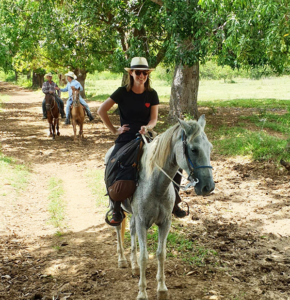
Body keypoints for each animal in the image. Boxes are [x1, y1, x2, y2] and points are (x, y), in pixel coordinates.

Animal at [104, 116, 213, 300]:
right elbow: (144, 257)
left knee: (131, 229)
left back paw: (133, 265)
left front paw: (162, 289)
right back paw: (122, 260)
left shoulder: (165, 223)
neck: (155, 185)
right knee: (119, 228)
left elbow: (161, 254)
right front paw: (142, 293)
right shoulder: (142, 222)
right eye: (193, 149)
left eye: (210, 147)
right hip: (116, 206)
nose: (209, 187)